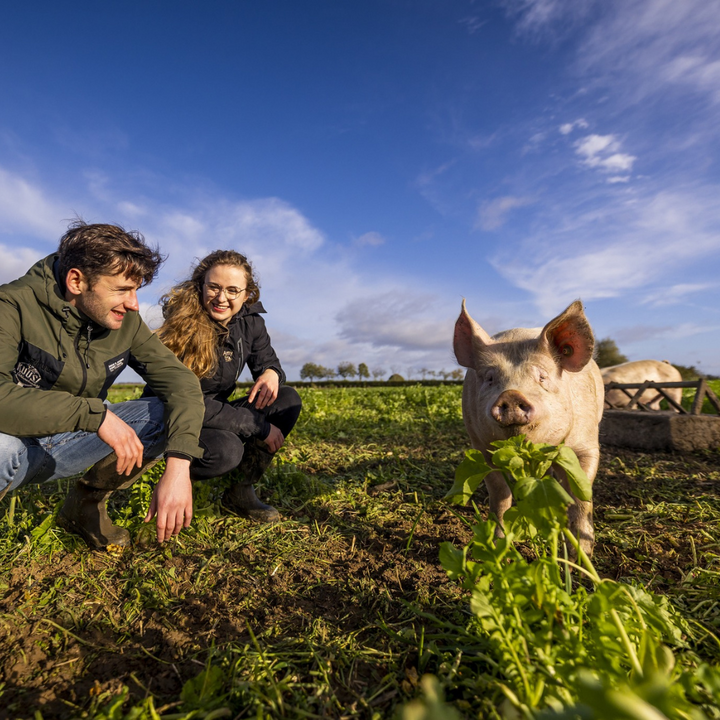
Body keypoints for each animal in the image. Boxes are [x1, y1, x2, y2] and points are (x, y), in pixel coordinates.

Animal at [456, 298, 600, 556]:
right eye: (490, 378)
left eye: (542, 377)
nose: (511, 395)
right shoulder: (482, 449)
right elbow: (500, 494)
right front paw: (498, 544)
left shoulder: (587, 445)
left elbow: (582, 496)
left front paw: (581, 554)